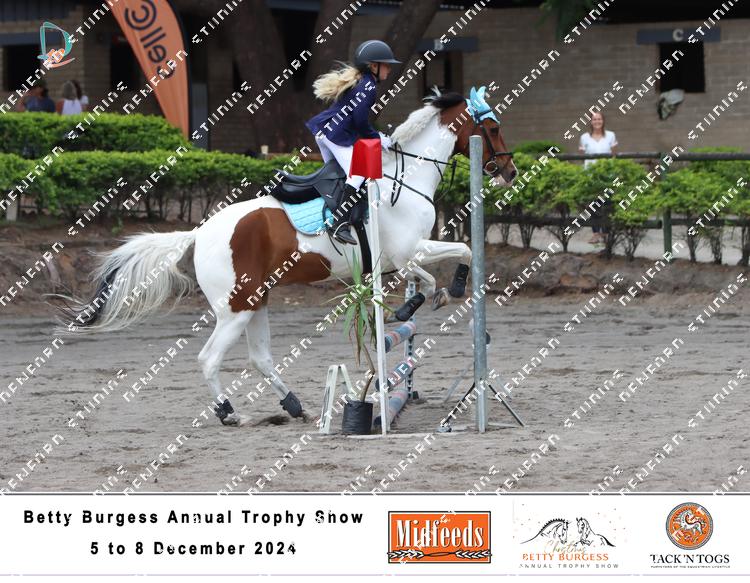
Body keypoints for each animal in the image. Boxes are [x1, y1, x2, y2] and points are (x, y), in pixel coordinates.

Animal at [58, 89, 516, 426]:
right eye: (493, 128)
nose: (510, 173)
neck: (406, 178)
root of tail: (199, 232)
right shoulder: (406, 252)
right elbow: (454, 257)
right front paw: (434, 294)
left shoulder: (400, 257)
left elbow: (450, 257)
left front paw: (425, 296)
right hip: (236, 307)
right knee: (209, 358)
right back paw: (229, 413)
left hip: (256, 300)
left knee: (259, 358)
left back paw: (296, 406)